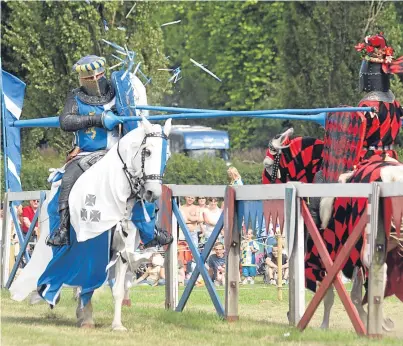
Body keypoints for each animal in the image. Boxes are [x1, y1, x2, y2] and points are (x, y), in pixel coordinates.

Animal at [10, 117, 172, 332]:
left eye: (166, 156)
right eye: (147, 152)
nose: (152, 193)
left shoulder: (122, 250)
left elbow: (118, 289)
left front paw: (117, 325)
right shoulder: (89, 247)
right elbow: (84, 281)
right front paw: (86, 317)